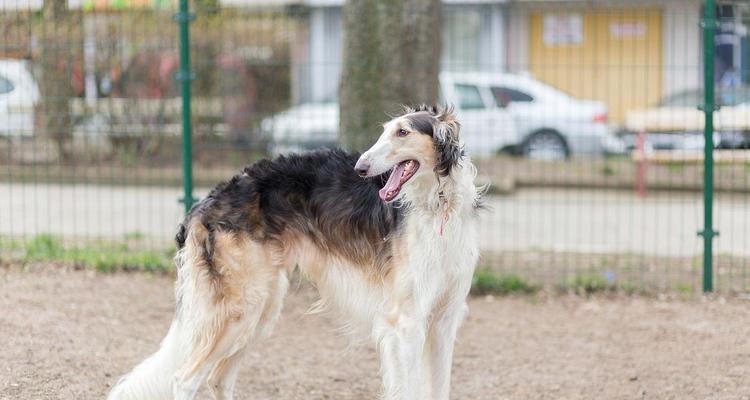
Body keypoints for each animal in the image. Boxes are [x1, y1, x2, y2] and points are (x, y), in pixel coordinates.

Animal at [107, 105, 482, 400]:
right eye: (384, 133)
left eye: (403, 132)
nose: (360, 167)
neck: (437, 207)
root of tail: (203, 204)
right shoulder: (406, 322)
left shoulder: (444, 320)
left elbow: (440, 389)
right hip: (240, 309)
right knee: (185, 379)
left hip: (261, 309)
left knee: (218, 379)